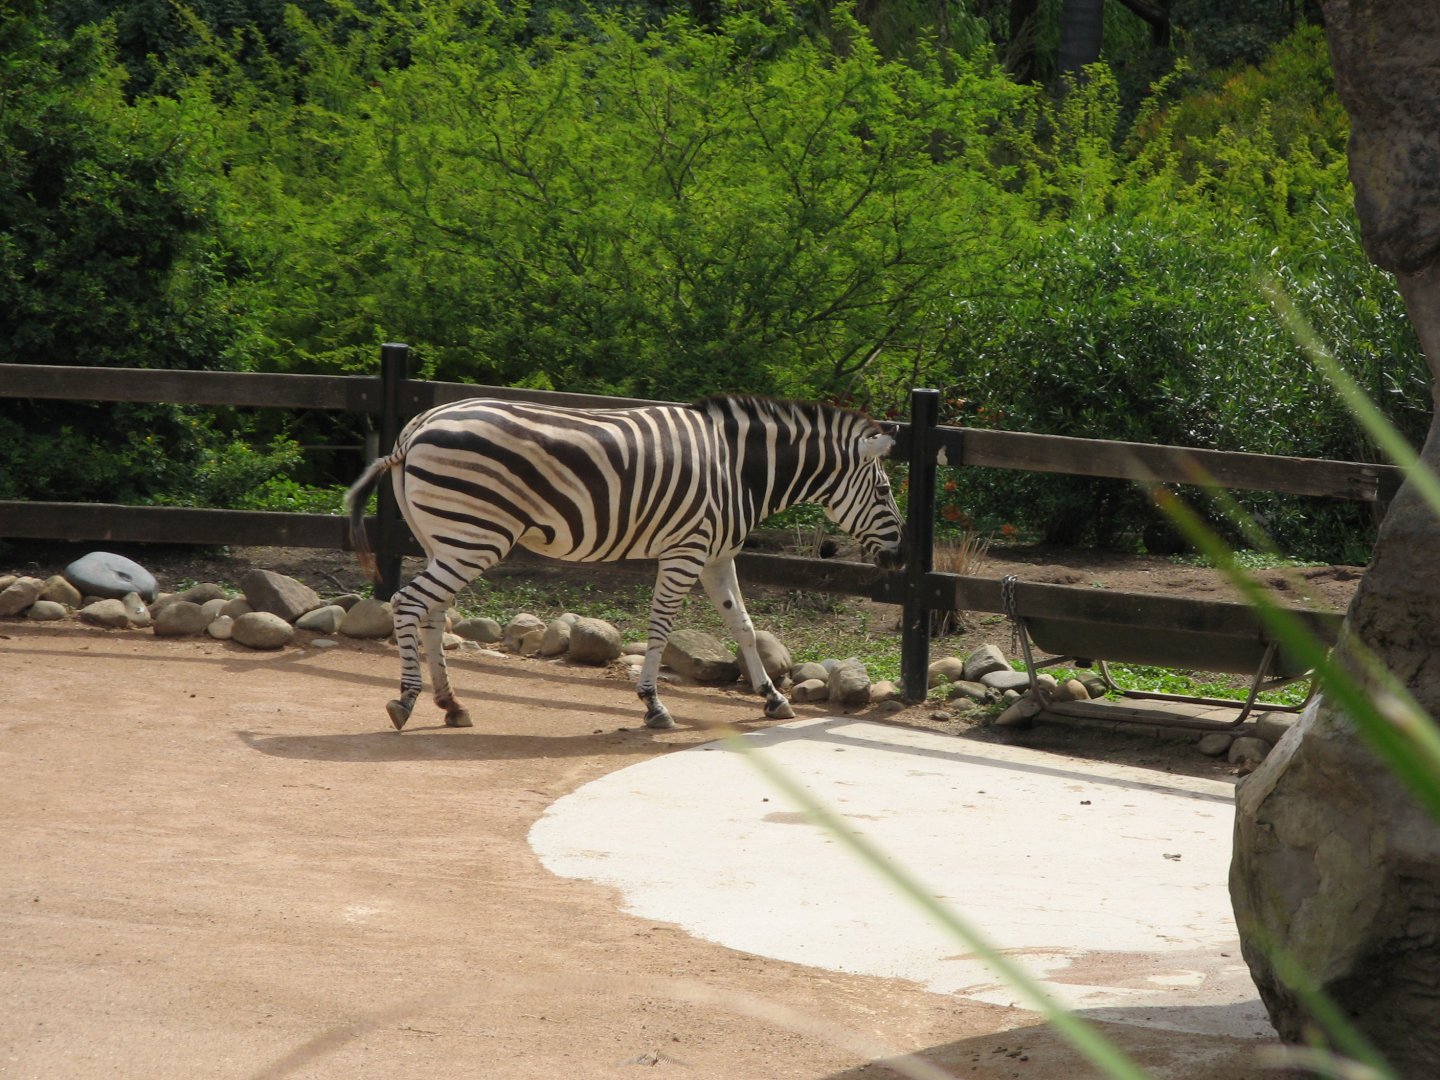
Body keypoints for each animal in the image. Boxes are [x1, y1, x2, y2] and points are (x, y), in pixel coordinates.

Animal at [344, 394, 905, 731]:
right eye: (883, 492)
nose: (900, 557)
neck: (740, 470)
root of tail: (413, 428)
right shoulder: (686, 551)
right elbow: (660, 628)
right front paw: (653, 705)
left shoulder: (717, 555)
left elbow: (744, 626)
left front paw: (772, 698)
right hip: (475, 537)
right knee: (407, 603)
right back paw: (406, 700)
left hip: (447, 539)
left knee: (432, 613)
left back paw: (452, 705)